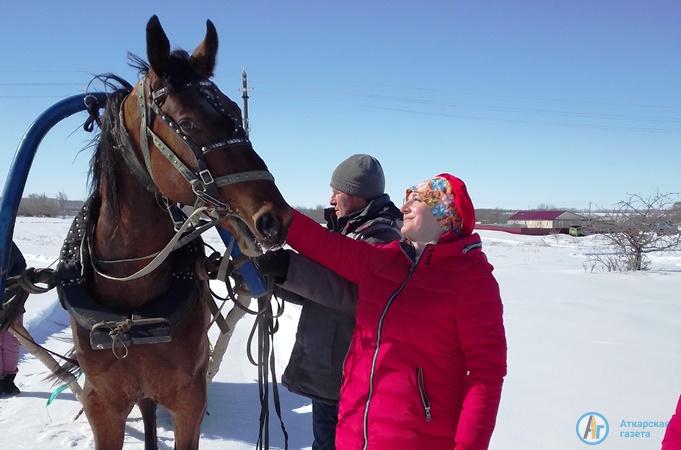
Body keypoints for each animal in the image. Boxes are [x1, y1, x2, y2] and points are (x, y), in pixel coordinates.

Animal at [57, 15, 290, 448]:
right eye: (186, 123)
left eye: (238, 114)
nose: (275, 219)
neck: (132, 305)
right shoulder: (103, 406)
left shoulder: (189, 401)